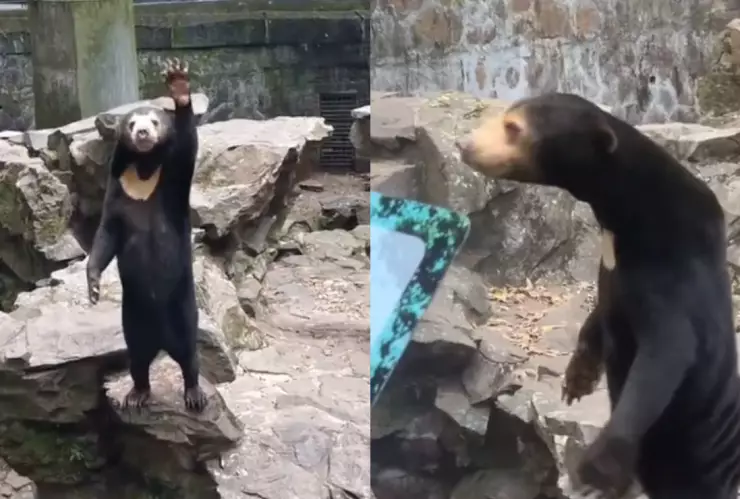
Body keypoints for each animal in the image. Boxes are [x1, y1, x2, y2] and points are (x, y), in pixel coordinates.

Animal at [86, 58, 207, 413]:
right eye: (131, 122)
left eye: (154, 120)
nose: (142, 133)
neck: (143, 169)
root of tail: (161, 342)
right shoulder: (116, 192)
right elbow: (106, 234)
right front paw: (94, 287)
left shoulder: (174, 183)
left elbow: (187, 148)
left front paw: (179, 86)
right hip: (133, 318)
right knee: (137, 358)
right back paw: (136, 394)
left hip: (182, 305)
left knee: (189, 352)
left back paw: (194, 395)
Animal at [455, 93, 740, 499]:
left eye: (513, 127)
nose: (464, 145)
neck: (622, 226)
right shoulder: (611, 271)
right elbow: (601, 311)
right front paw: (578, 379)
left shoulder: (674, 274)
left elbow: (667, 354)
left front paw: (597, 467)